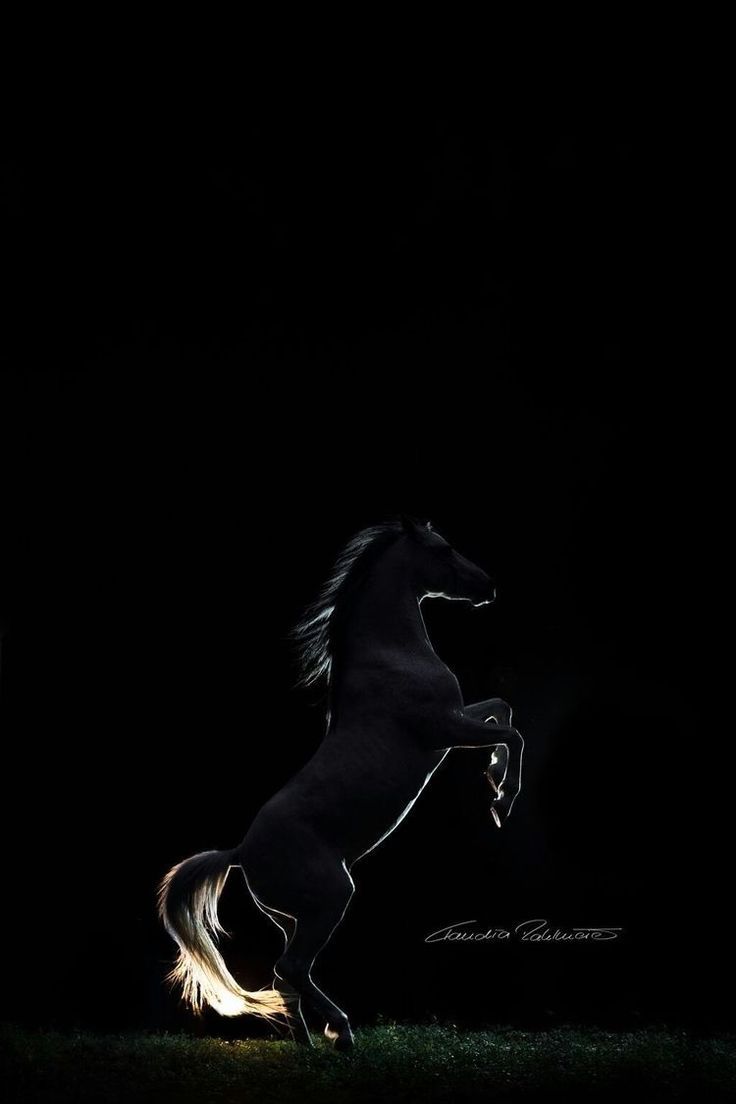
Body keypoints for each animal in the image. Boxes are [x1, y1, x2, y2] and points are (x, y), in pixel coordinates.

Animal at [158, 517, 524, 1050]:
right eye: (444, 549)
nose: (489, 586)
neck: (392, 656)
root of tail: (241, 853)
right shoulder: (444, 729)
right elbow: (512, 730)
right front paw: (502, 800)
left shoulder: (456, 721)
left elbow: (502, 709)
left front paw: (495, 784)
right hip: (329, 900)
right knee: (290, 969)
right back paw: (342, 1033)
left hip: (295, 918)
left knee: (287, 976)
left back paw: (309, 1043)